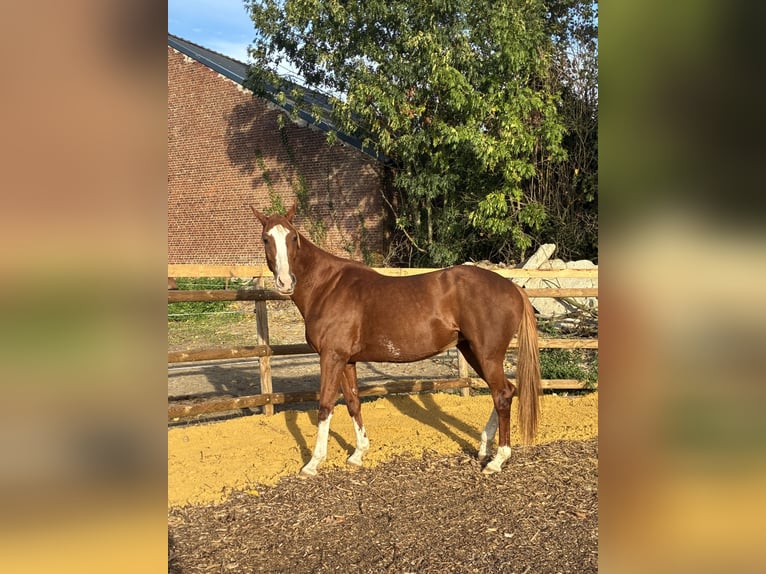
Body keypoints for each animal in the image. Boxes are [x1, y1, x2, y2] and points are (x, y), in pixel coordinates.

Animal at [250, 202, 541, 476]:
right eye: (266, 238)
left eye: (293, 237)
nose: (285, 282)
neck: (328, 287)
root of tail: (513, 287)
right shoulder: (346, 360)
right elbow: (353, 402)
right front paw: (358, 454)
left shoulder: (331, 357)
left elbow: (325, 406)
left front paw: (312, 464)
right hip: (473, 352)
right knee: (502, 391)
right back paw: (484, 448)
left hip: (487, 354)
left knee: (502, 394)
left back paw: (497, 460)